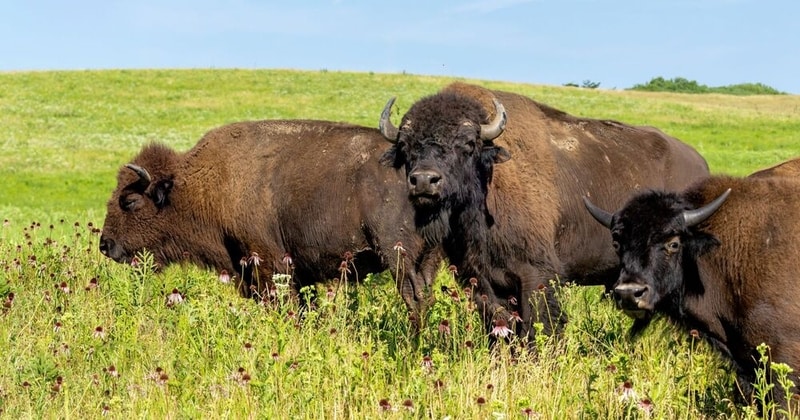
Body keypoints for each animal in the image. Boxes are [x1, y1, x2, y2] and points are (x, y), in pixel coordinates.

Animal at [378, 82, 710, 341]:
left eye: (468, 143)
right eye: (406, 146)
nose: (424, 180)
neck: (490, 176)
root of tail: (700, 164)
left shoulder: (536, 275)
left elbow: (540, 327)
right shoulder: (481, 279)